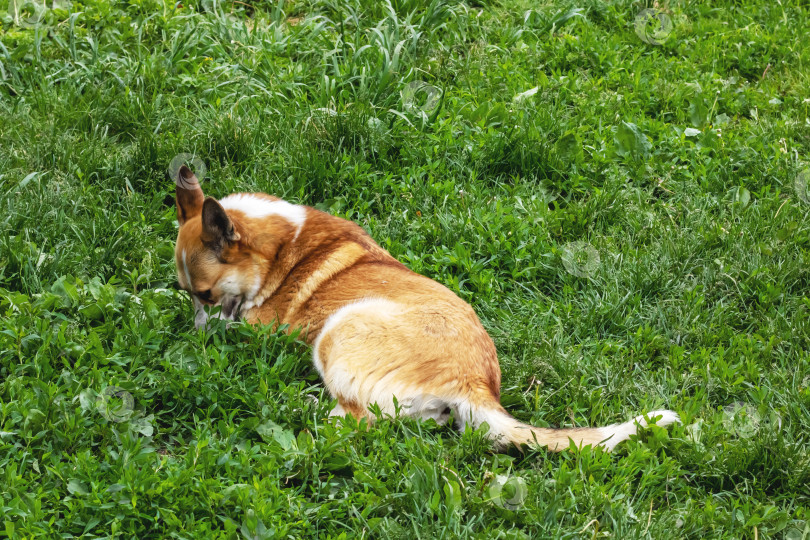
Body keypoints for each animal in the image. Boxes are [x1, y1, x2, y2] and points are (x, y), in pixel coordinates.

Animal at [174, 166, 680, 452]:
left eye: (206, 295)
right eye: (186, 293)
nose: (192, 343)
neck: (277, 248)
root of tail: (475, 384)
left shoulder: (258, 324)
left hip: (339, 328)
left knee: (355, 419)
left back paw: (297, 404)